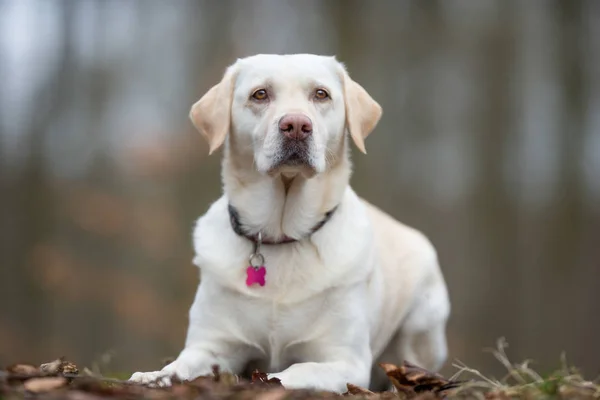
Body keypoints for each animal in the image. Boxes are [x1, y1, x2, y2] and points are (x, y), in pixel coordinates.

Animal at [131, 54, 450, 394]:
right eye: (260, 94)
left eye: (321, 94)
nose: (296, 125)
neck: (281, 234)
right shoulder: (210, 345)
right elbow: (181, 365)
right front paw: (155, 376)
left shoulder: (344, 360)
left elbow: (293, 371)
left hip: (422, 322)